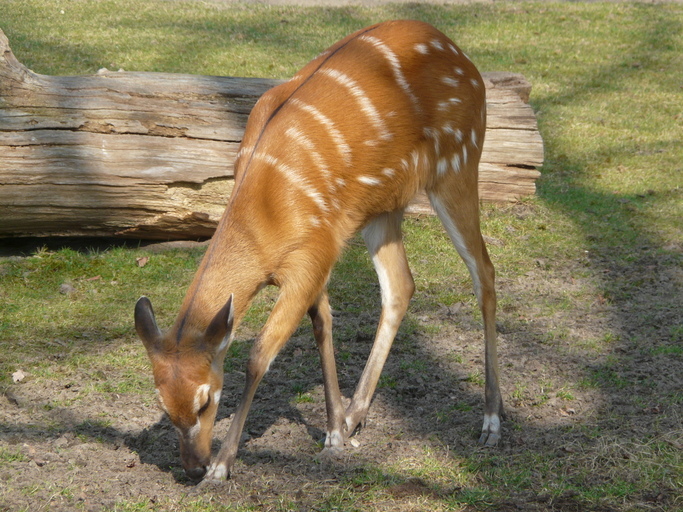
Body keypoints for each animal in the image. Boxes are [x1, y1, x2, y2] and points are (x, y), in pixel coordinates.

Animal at [136, 20, 504, 482]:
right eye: (164, 405)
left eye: (205, 400)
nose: (192, 466)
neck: (268, 215)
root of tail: (463, 57)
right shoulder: (318, 252)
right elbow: (323, 324)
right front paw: (336, 431)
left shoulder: (311, 255)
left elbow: (260, 354)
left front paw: (224, 464)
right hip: (383, 207)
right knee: (401, 285)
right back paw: (357, 412)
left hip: (457, 165)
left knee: (484, 271)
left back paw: (491, 421)